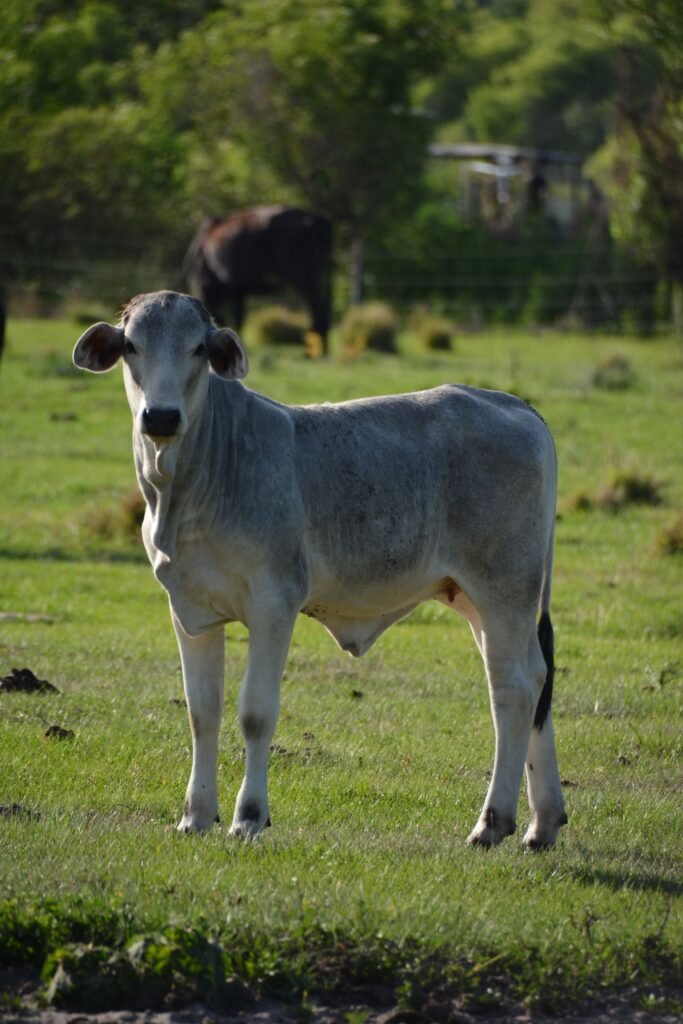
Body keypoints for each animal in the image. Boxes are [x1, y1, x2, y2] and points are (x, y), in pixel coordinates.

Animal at [72, 291, 567, 849]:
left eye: (198, 348)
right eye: (132, 346)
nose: (160, 416)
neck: (193, 486)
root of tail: (515, 405)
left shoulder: (274, 601)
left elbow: (255, 712)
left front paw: (248, 816)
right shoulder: (190, 611)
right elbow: (203, 712)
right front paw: (196, 815)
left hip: (506, 590)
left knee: (513, 690)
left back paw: (492, 821)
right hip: (478, 601)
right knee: (536, 678)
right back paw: (542, 822)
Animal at [183, 206, 332, 355]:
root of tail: (318, 220)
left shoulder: (230, 288)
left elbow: (238, 317)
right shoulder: (238, 291)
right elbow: (239, 316)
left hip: (304, 278)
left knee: (317, 308)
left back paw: (313, 352)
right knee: (324, 307)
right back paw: (322, 349)